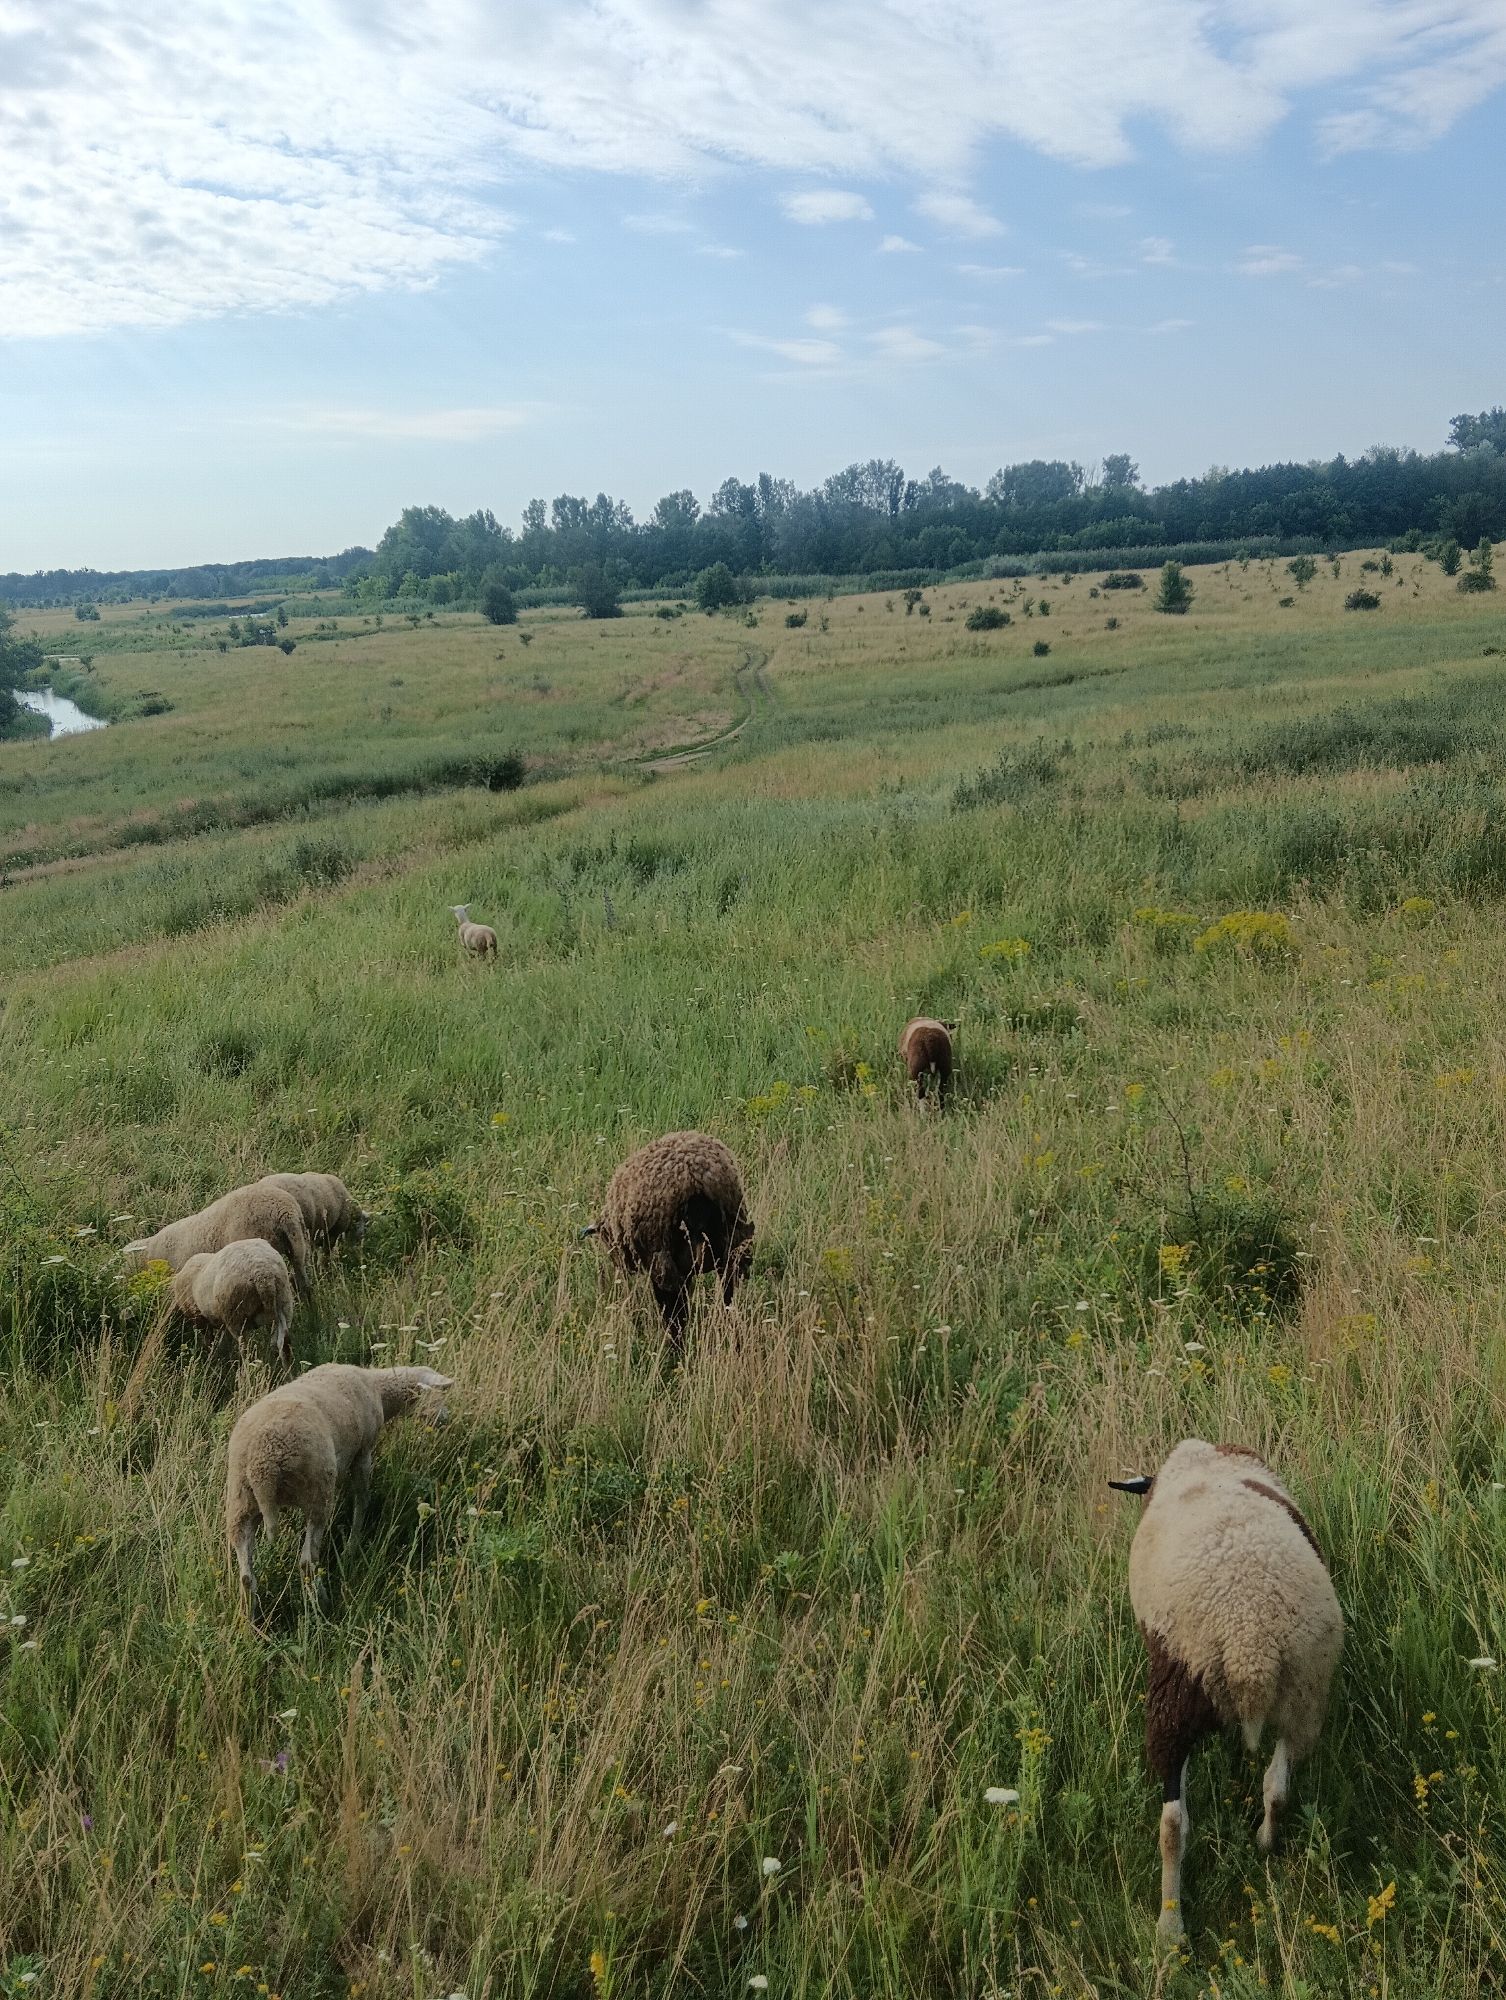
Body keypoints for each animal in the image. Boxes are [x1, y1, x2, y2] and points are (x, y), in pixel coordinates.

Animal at [226, 1363, 453, 1616]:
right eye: (439, 1395)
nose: (446, 1418)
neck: (378, 1388)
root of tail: (262, 1467)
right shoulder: (363, 1451)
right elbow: (362, 1498)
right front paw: (353, 1543)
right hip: (317, 1492)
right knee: (307, 1562)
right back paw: (322, 1606)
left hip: (241, 1501)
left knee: (246, 1576)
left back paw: (248, 1620)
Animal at [585, 1131, 754, 1344]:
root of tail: (695, 1179)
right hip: (729, 1244)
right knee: (728, 1293)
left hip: (664, 1259)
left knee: (674, 1311)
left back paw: (675, 1345)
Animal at [1110, 1439, 1343, 1946]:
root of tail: (1247, 1640)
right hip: (1306, 1695)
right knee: (1277, 1786)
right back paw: (1266, 1844)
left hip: (1175, 1699)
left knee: (1172, 1823)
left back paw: (1170, 1928)